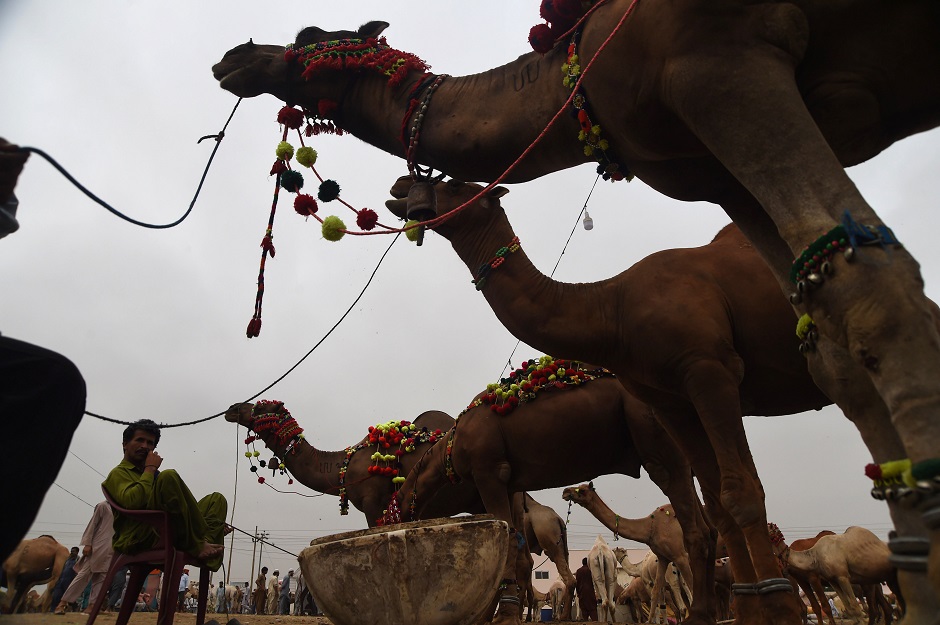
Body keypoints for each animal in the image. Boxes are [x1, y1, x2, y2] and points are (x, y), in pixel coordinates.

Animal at [560, 482, 692, 620]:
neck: (650, 527)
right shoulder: (663, 558)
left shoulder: (680, 555)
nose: (565, 491)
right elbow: (655, 594)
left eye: (582, 490)